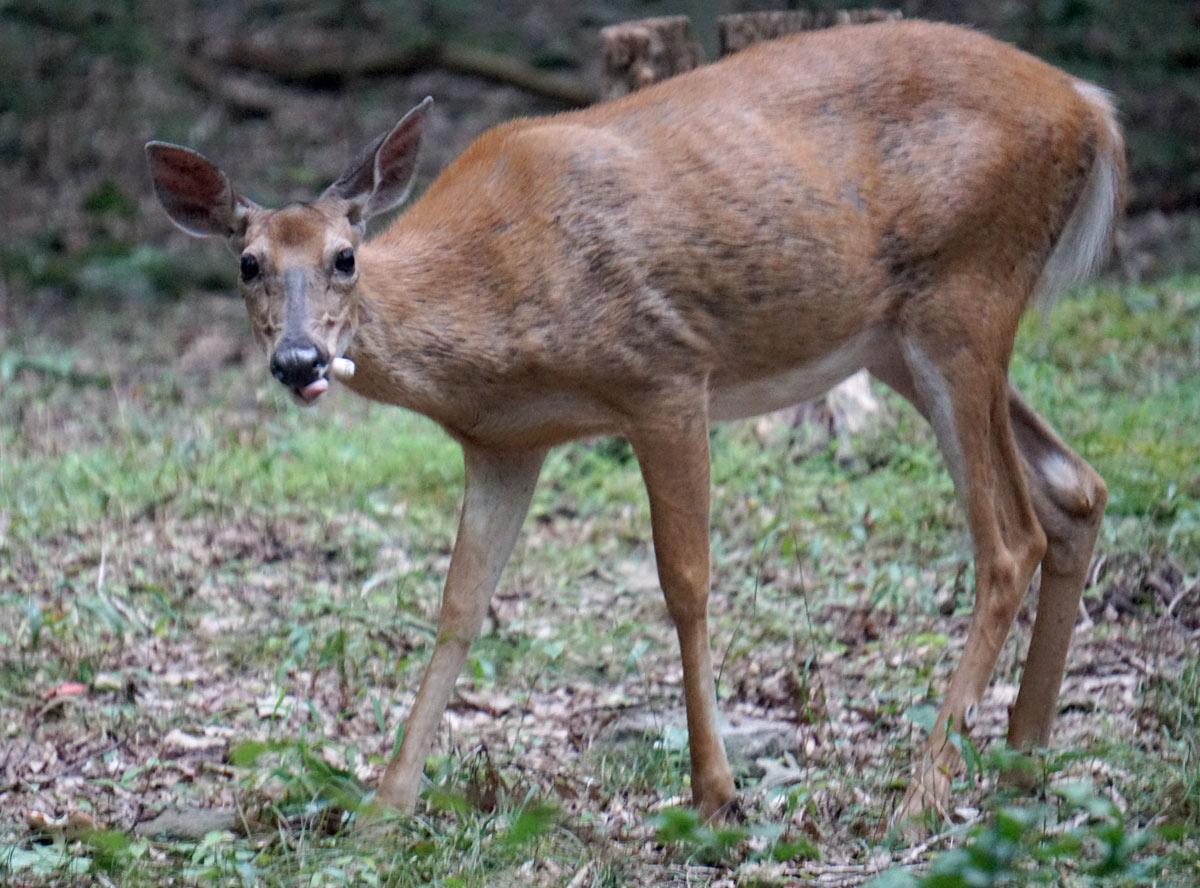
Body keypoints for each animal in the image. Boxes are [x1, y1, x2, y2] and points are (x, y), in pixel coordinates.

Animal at [147, 20, 1123, 825]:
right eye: (246, 264)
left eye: (346, 257)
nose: (299, 360)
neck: (495, 309)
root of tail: (1091, 108)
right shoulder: (506, 443)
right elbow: (461, 606)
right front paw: (384, 812)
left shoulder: (666, 375)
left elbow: (684, 583)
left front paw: (716, 790)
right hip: (898, 337)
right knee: (1075, 486)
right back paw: (1023, 759)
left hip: (966, 289)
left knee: (1010, 538)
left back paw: (922, 797)